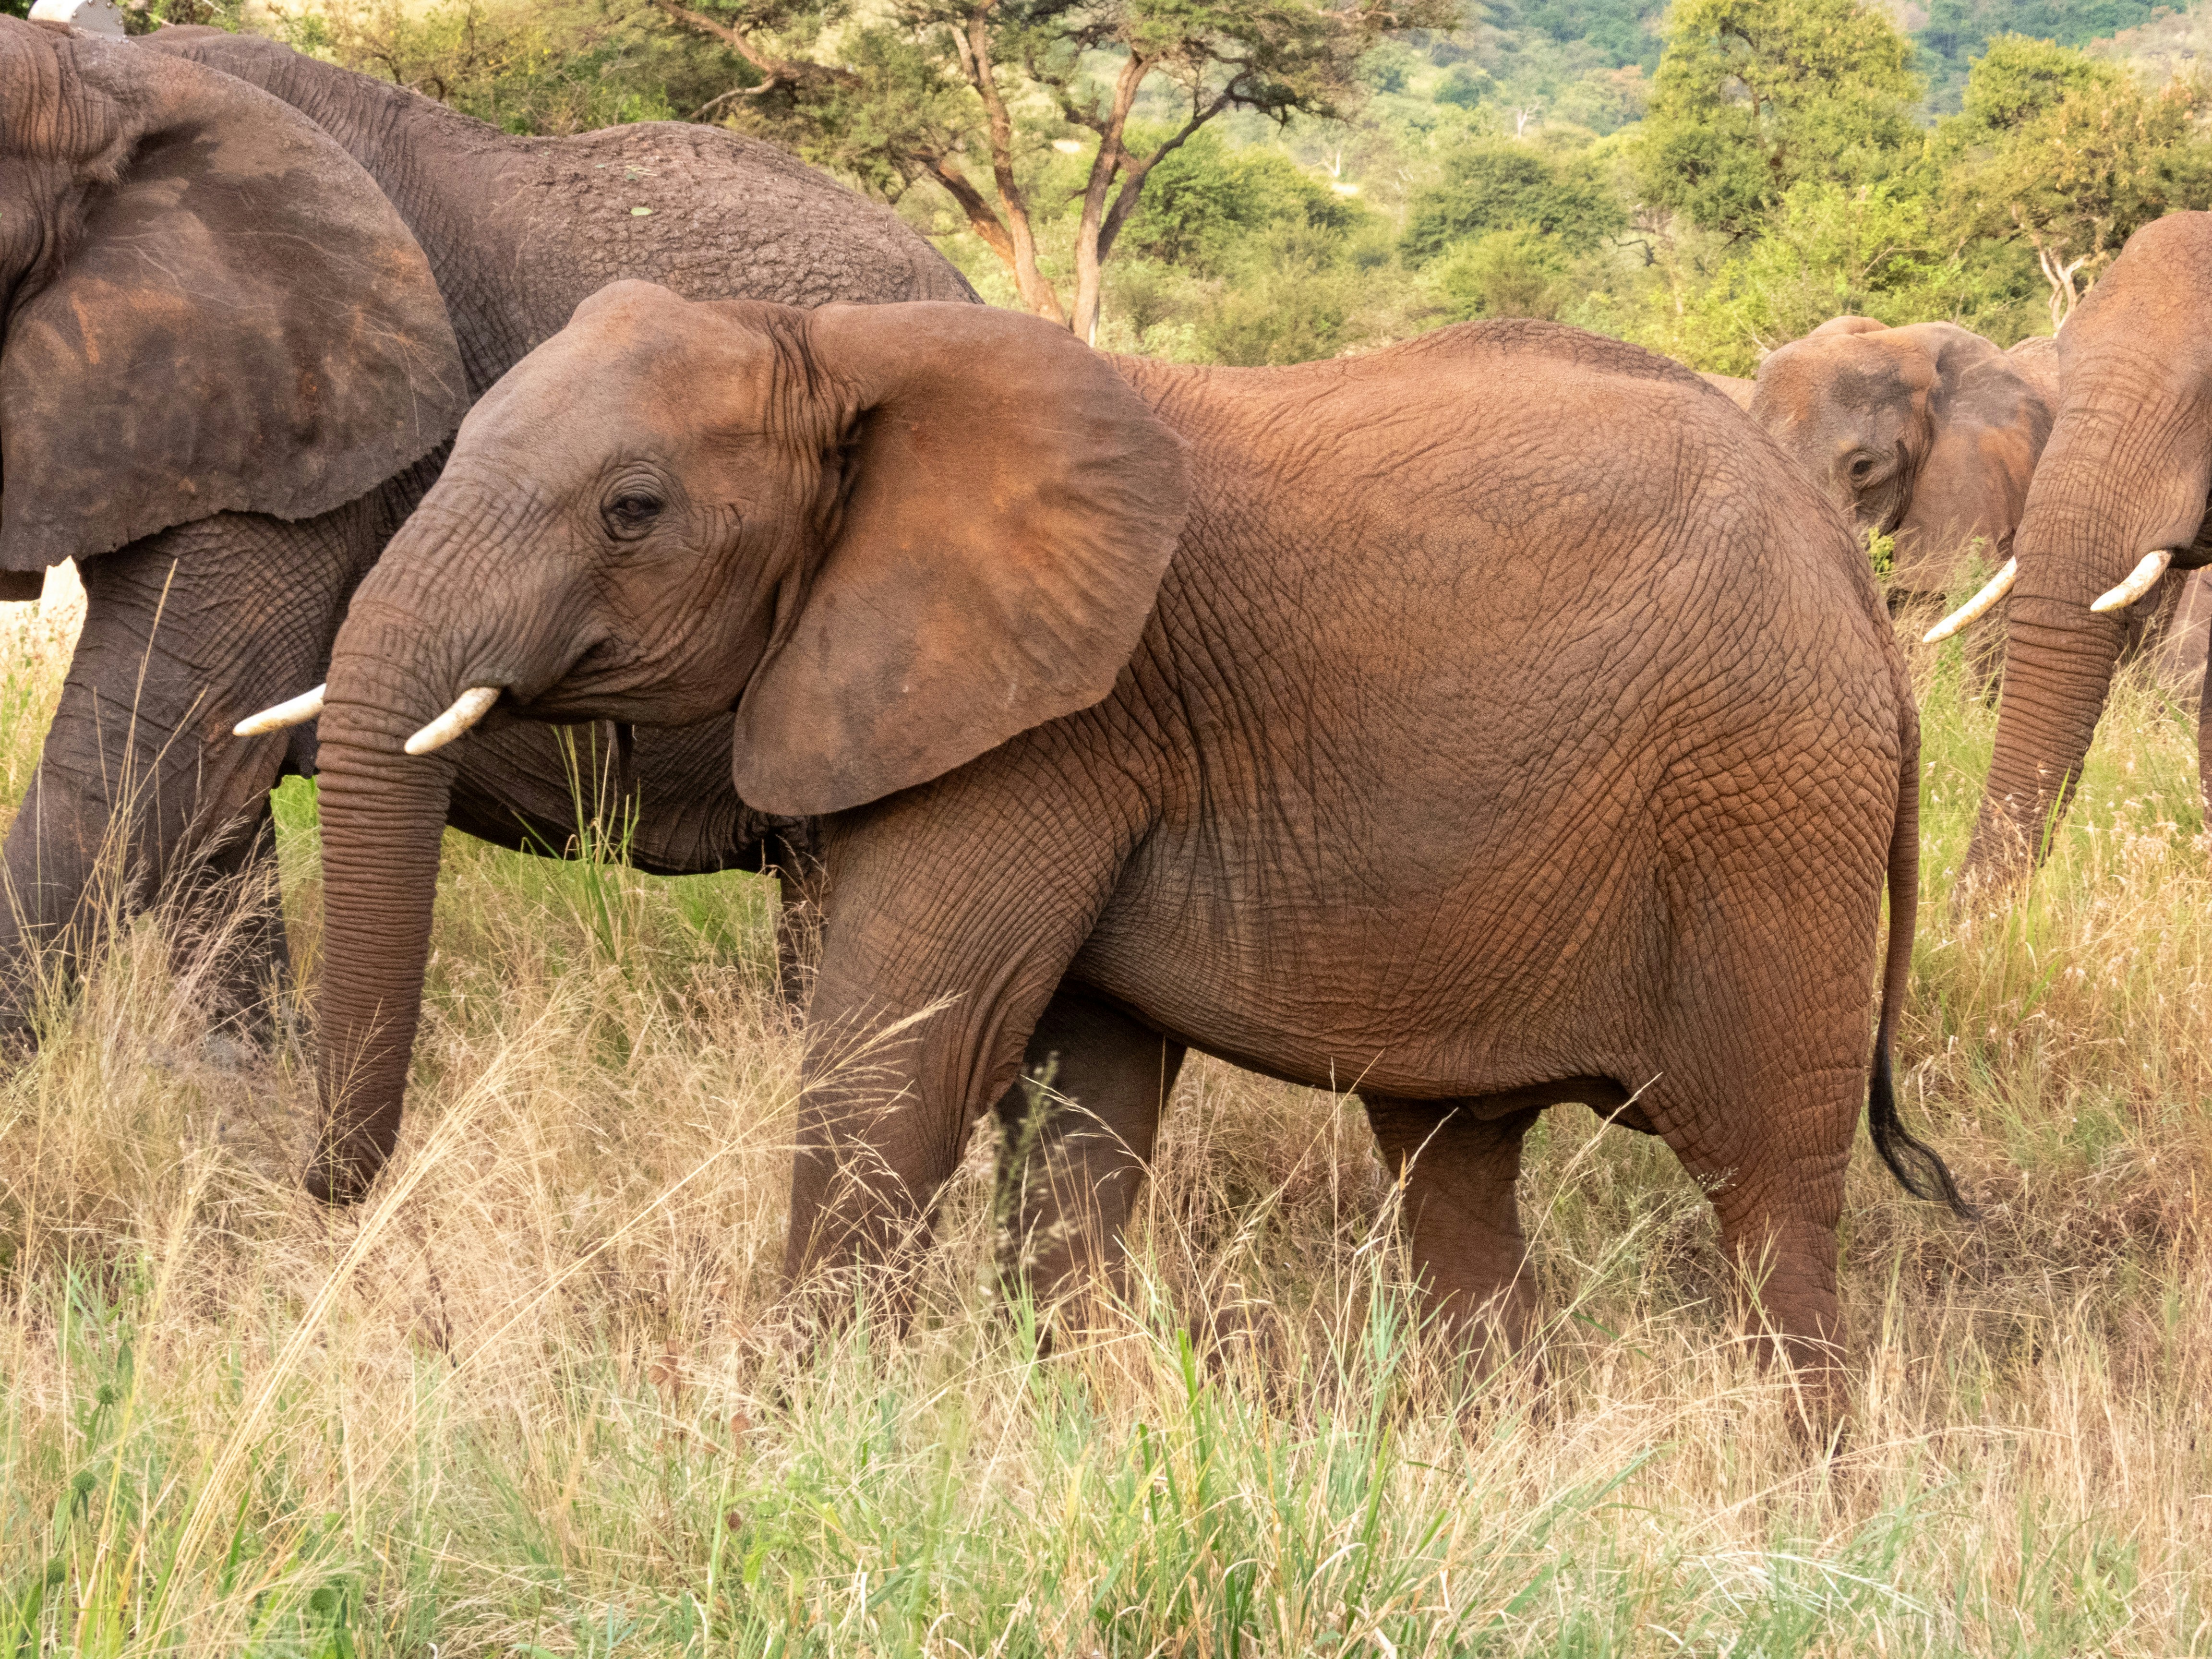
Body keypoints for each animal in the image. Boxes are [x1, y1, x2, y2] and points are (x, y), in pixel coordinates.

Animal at [275, 284, 1969, 1386]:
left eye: (634, 508)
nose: (330, 1201)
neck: (849, 350)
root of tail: (1854, 589)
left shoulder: (1058, 720)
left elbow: (908, 1056)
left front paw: (798, 1439)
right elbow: (1079, 1100)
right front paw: (1077, 1419)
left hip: (1771, 820)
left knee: (1768, 1205)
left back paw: (1797, 1509)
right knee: (1455, 1175)